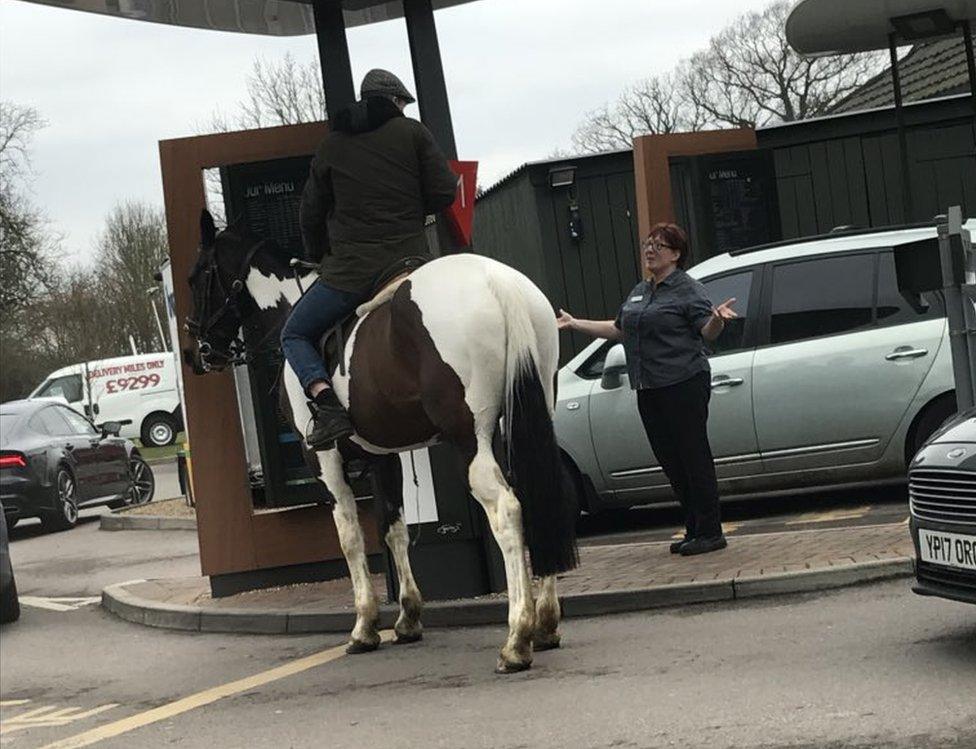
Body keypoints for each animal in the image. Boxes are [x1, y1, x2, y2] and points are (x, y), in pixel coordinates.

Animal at [184, 210, 580, 672]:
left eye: (197, 276)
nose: (199, 352)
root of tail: (496, 281)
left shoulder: (323, 459)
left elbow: (351, 536)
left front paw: (365, 626)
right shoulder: (383, 457)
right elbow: (394, 531)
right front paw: (408, 618)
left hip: (471, 437)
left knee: (505, 508)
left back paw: (517, 638)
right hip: (528, 416)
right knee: (546, 492)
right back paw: (547, 623)